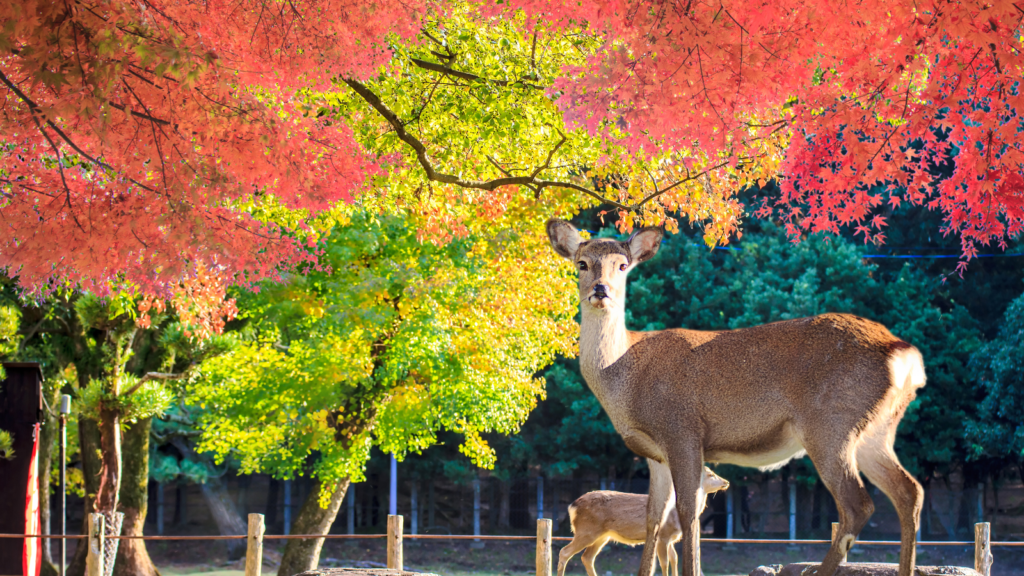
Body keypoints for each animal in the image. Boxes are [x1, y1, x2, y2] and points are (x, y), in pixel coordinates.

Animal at [561, 459, 729, 576]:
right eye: (710, 474)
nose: (726, 482)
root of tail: (572, 506)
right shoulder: (663, 535)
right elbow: (664, 562)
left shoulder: (671, 538)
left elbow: (674, 559)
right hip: (586, 531)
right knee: (565, 552)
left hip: (602, 535)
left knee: (587, 557)